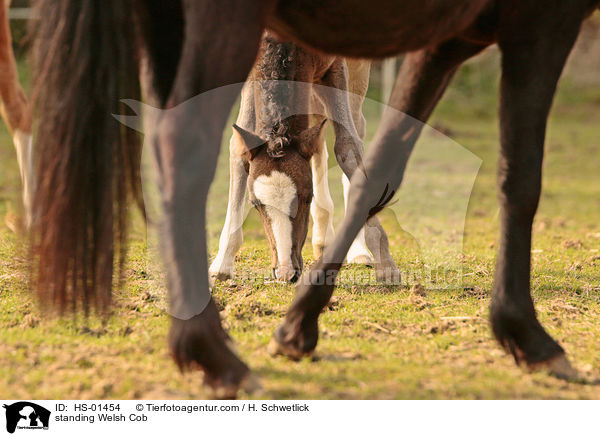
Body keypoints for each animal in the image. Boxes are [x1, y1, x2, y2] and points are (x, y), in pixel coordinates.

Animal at [29, 0, 600, 398]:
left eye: (299, 199)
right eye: (260, 208)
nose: (286, 271)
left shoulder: (342, 72)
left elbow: (352, 155)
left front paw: (380, 262)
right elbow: (236, 162)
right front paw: (223, 262)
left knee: (348, 144)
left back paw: (350, 248)